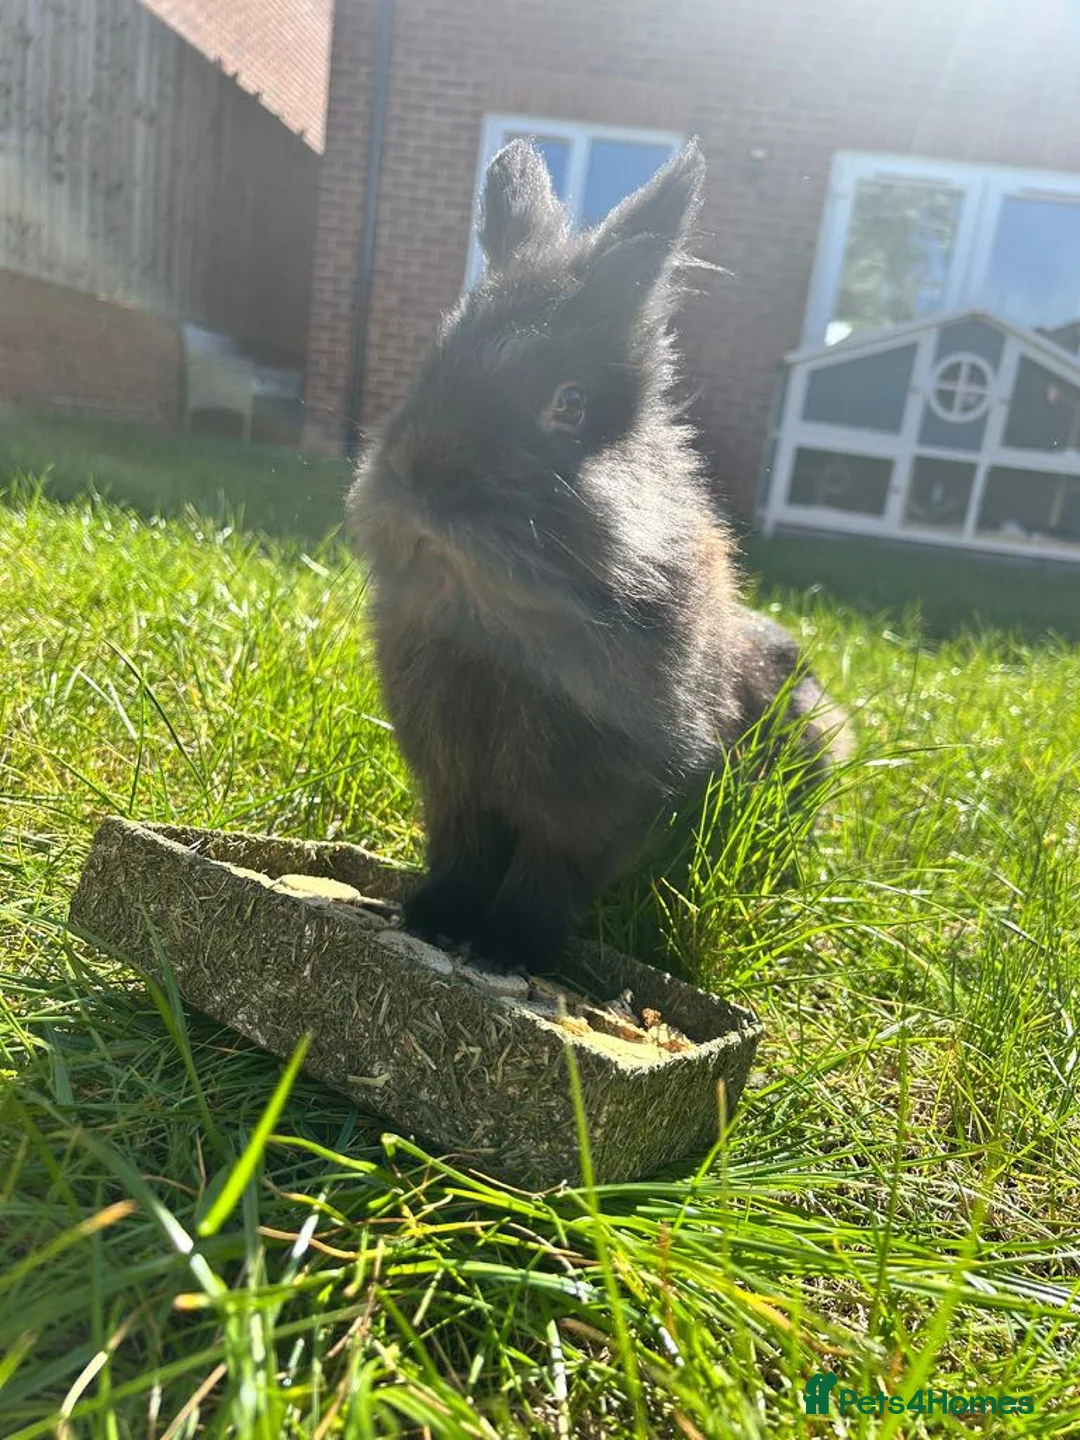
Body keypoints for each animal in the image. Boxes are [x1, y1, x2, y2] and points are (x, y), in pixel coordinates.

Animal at [346, 137, 851, 976]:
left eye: (570, 403)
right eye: (430, 367)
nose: (419, 480)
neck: (500, 626)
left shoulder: (598, 803)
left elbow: (547, 875)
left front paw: (508, 949)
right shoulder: (455, 786)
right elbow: (464, 855)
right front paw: (435, 918)